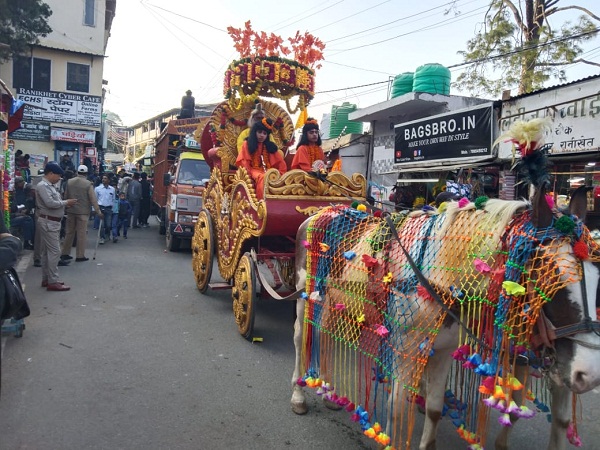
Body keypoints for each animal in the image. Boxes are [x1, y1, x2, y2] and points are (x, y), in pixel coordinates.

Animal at [290, 185, 600, 448]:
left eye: (597, 278)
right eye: (549, 279)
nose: (589, 375)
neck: (442, 274)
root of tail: (323, 211)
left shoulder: (444, 350)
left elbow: (436, 408)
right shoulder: (406, 350)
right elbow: (397, 409)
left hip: (336, 299)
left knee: (325, 333)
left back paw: (328, 390)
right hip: (306, 294)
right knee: (301, 338)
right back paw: (298, 394)